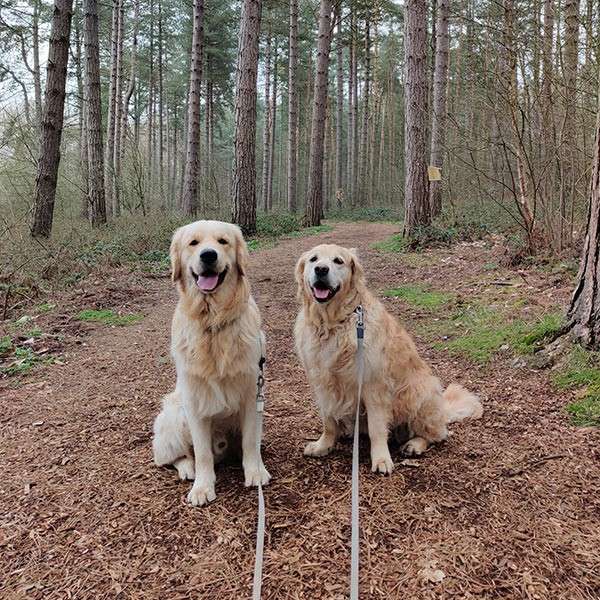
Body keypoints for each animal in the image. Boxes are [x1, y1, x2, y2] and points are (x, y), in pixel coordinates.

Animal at [151, 220, 270, 506]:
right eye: (193, 243)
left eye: (223, 241)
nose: (208, 255)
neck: (213, 322)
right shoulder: (194, 402)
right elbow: (202, 452)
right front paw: (203, 488)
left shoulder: (252, 394)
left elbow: (251, 442)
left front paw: (255, 472)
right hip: (175, 415)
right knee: (174, 457)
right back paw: (188, 469)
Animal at [292, 244, 480, 474]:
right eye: (313, 259)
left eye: (338, 261)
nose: (321, 270)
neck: (332, 323)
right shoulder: (322, 382)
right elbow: (328, 421)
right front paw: (324, 445)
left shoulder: (373, 385)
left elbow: (376, 428)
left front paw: (381, 459)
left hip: (419, 393)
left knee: (437, 435)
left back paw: (414, 445)